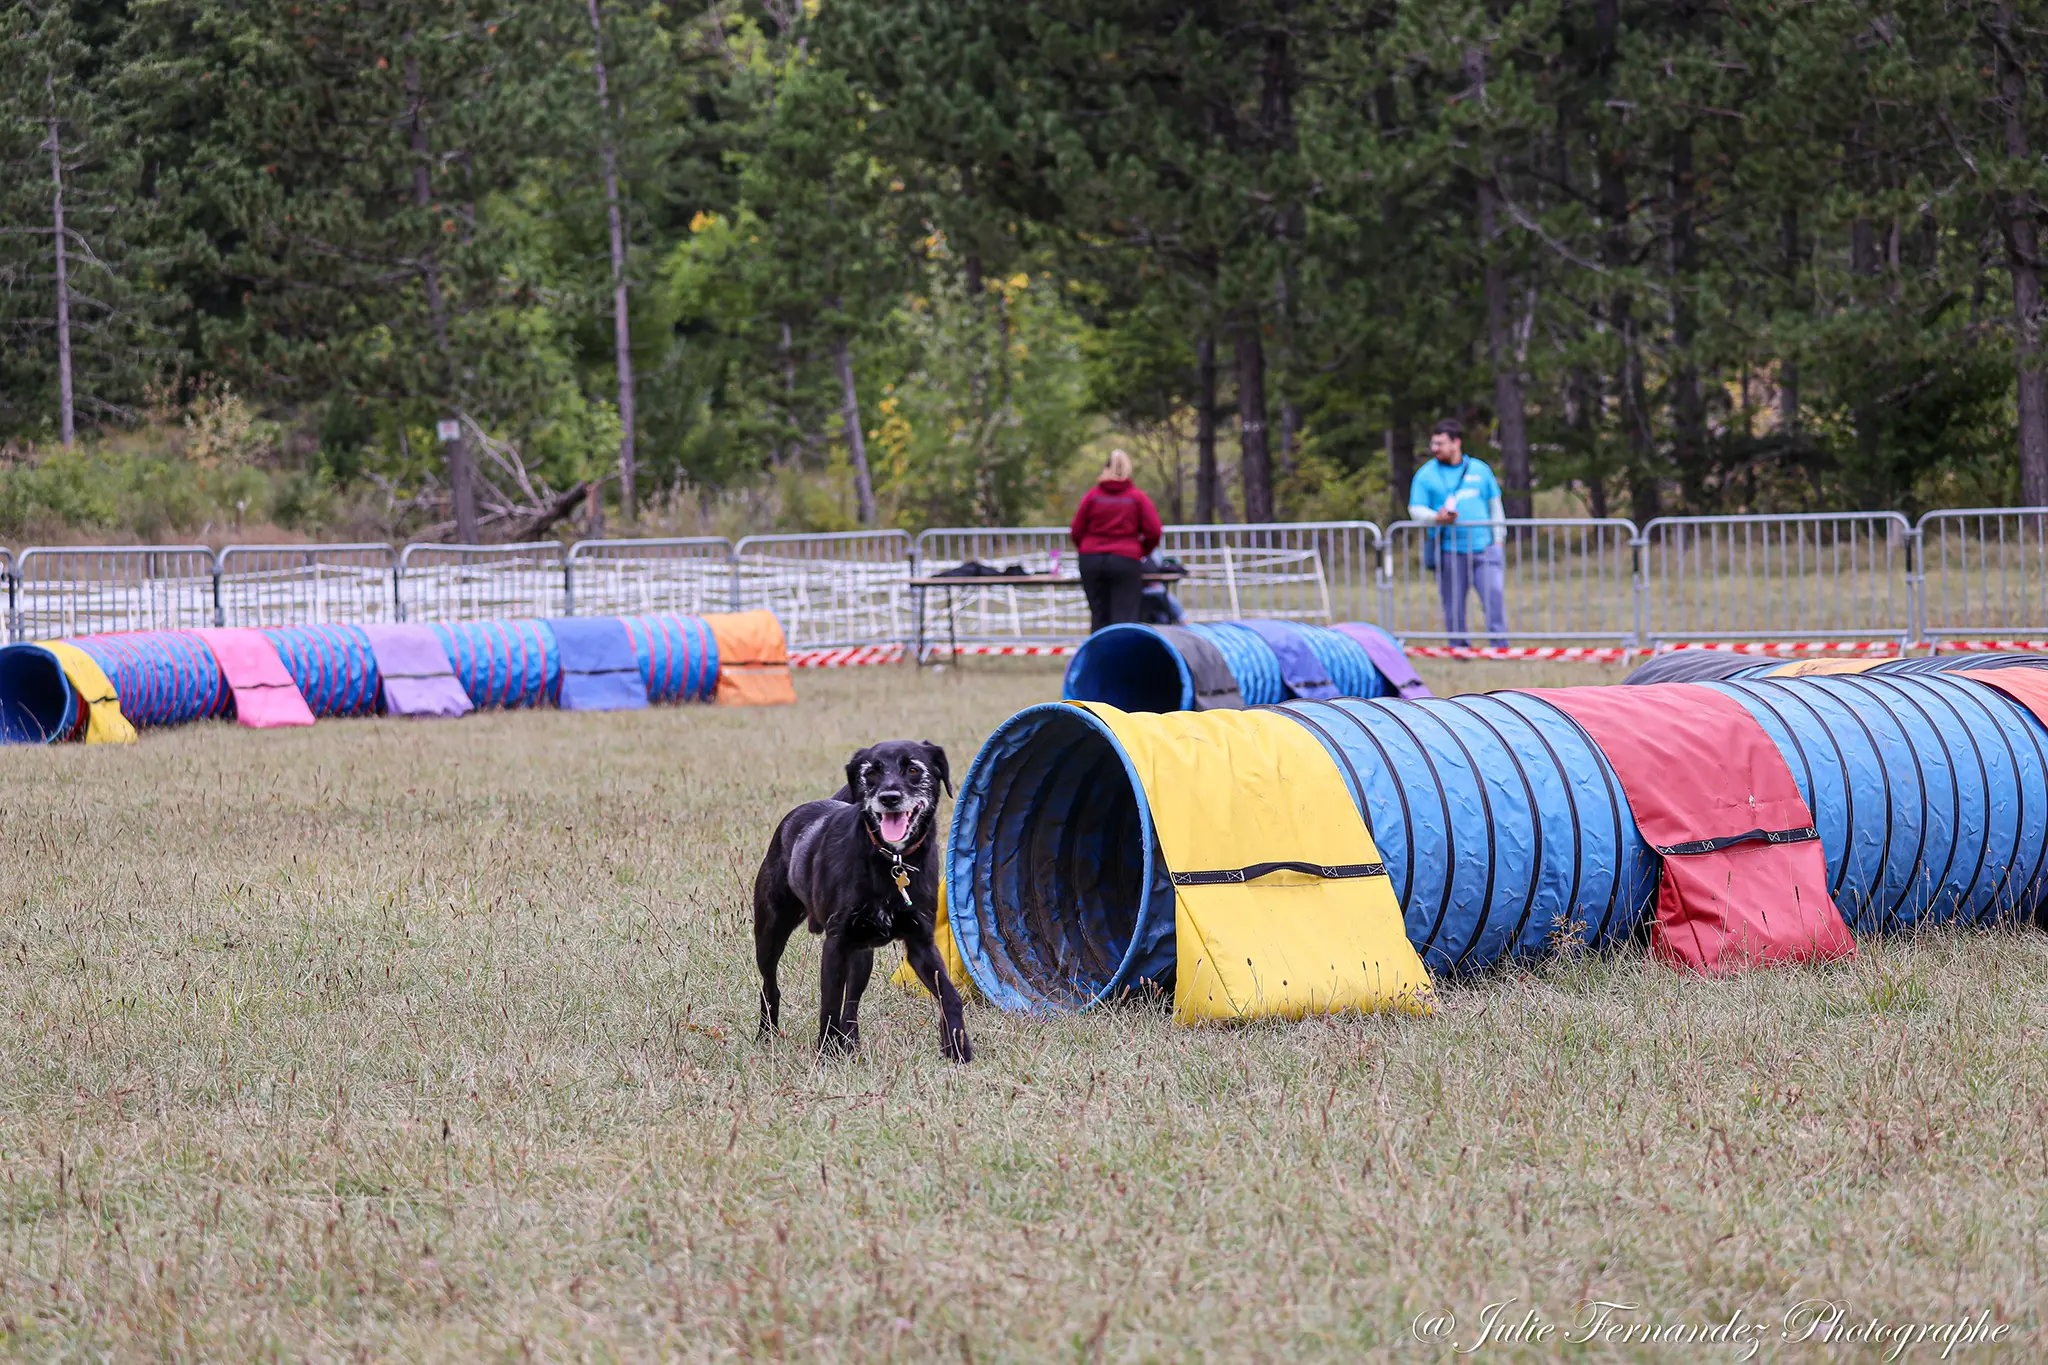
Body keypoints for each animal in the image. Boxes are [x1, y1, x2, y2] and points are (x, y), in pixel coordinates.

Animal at [753, 740, 974, 1064]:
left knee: (852, 1004)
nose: (889, 797)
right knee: (771, 987)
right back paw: (767, 1035)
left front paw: (958, 1049)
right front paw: (826, 1056)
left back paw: (851, 1044)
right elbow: (829, 1005)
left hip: (862, 955)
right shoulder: (835, 945)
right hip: (770, 934)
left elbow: (950, 994)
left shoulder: (921, 944)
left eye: (913, 769)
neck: (891, 862)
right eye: (871, 772)